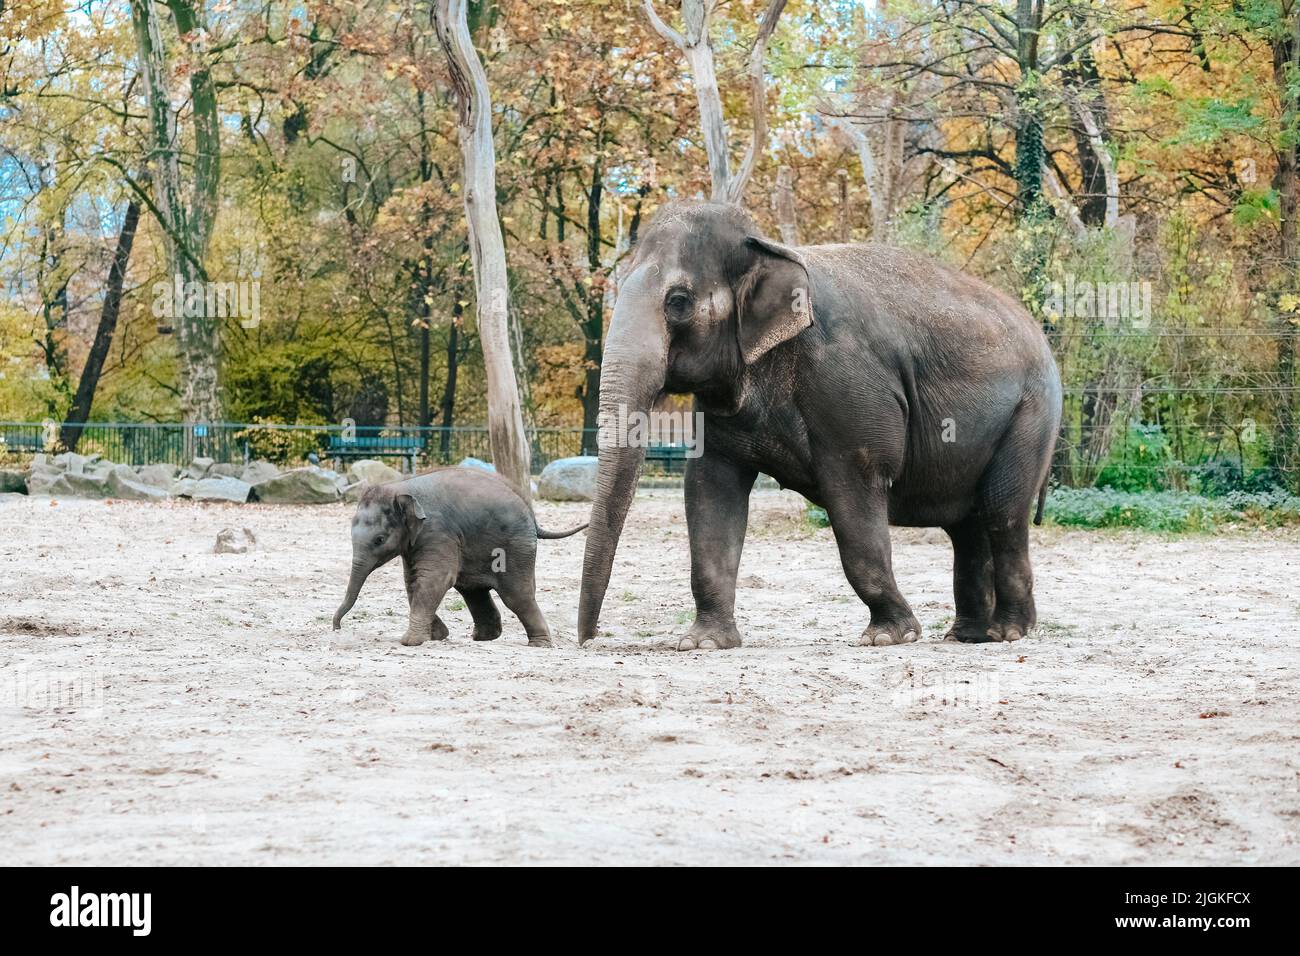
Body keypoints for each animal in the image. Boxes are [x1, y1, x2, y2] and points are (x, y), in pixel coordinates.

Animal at [332, 468, 587, 647]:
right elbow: (413, 580)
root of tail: (532, 514)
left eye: (379, 539)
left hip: (516, 546)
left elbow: (435, 578)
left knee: (516, 594)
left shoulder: (437, 531)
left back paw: (539, 644)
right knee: (473, 591)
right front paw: (437, 636)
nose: (337, 628)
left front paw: (411, 642)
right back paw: (484, 637)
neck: (400, 487)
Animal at [585, 201, 1060, 650]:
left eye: (679, 302)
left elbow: (855, 490)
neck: (768, 246)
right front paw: (703, 642)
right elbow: (709, 489)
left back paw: (1007, 632)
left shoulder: (847, 383)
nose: (587, 640)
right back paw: (966, 635)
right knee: (967, 525)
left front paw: (889, 635)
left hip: (1032, 416)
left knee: (1001, 511)